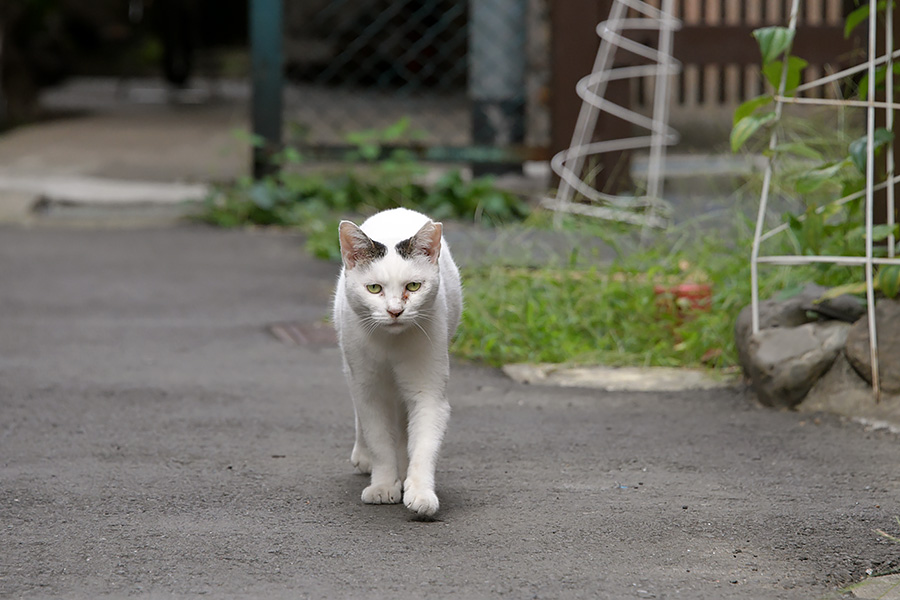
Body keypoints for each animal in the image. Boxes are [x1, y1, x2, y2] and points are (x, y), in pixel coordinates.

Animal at [336, 207, 464, 516]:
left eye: (413, 286)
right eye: (374, 288)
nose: (395, 311)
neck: (391, 344)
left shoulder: (428, 392)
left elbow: (424, 445)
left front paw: (420, 492)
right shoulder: (369, 392)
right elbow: (380, 441)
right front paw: (383, 486)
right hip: (352, 367)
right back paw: (364, 456)